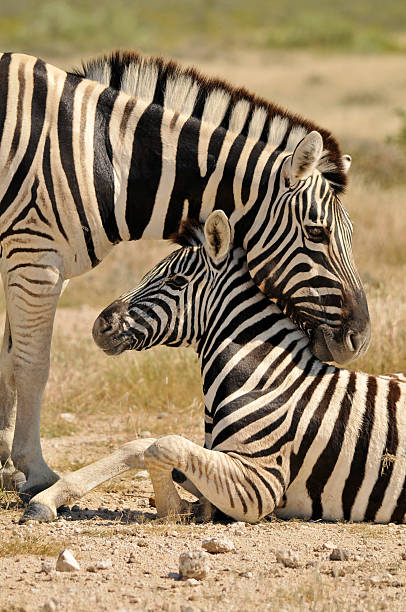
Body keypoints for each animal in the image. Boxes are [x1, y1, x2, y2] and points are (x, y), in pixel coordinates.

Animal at [0, 51, 368, 502]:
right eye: (317, 232)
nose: (359, 339)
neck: (103, 159)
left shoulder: (35, 261)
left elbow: (7, 359)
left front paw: (6, 465)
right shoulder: (36, 255)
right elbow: (32, 364)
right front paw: (34, 471)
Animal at [21, 213, 406, 524]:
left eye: (177, 281)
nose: (100, 326)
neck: (265, 377)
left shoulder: (260, 485)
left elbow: (163, 445)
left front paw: (177, 508)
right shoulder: (222, 458)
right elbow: (142, 445)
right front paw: (49, 497)